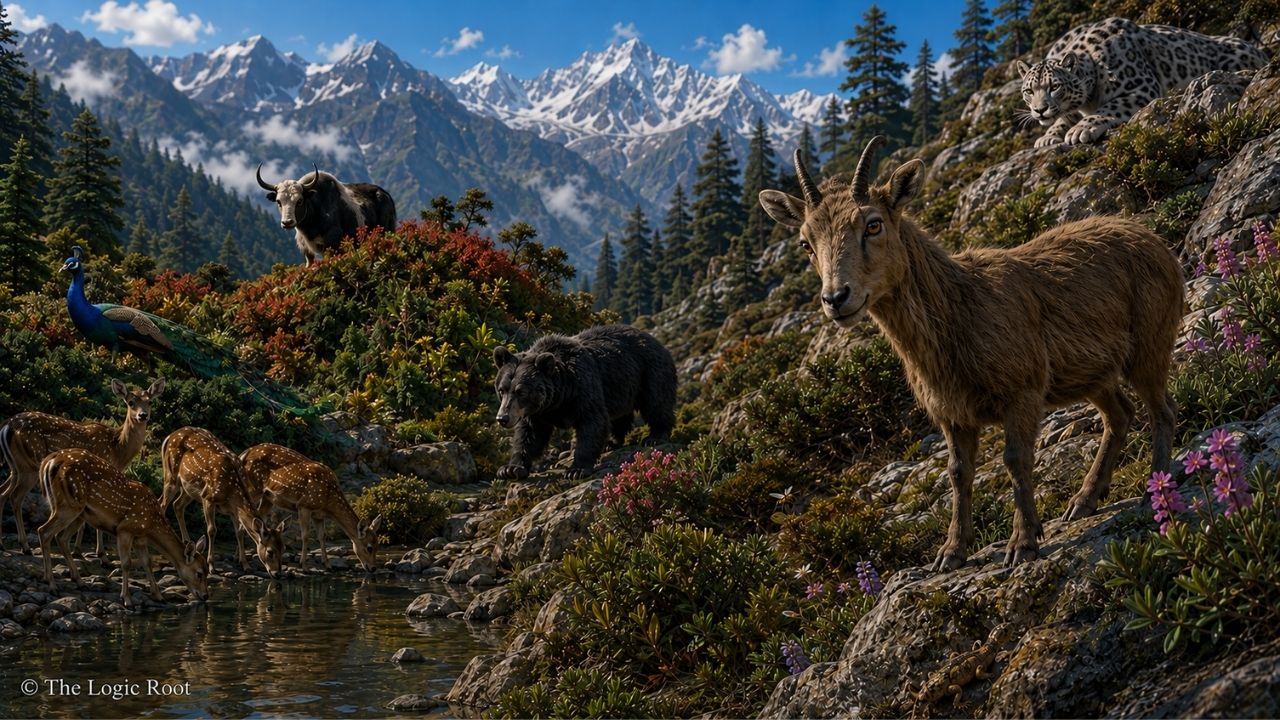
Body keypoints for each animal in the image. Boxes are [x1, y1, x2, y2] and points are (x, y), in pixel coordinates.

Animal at [493, 325, 677, 480]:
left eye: (521, 391)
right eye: (502, 389)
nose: (503, 418)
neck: (559, 397)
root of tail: (656, 340)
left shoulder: (582, 389)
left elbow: (592, 422)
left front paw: (576, 469)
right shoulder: (538, 413)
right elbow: (529, 435)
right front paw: (510, 468)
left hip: (649, 371)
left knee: (656, 402)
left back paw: (655, 436)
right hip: (622, 386)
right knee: (620, 416)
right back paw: (611, 442)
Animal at [1017, 17, 1269, 147]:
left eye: (1054, 87)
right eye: (1029, 90)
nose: (1039, 110)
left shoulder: (1141, 88)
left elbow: (1109, 107)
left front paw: (1080, 129)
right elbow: (1064, 116)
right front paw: (1048, 137)